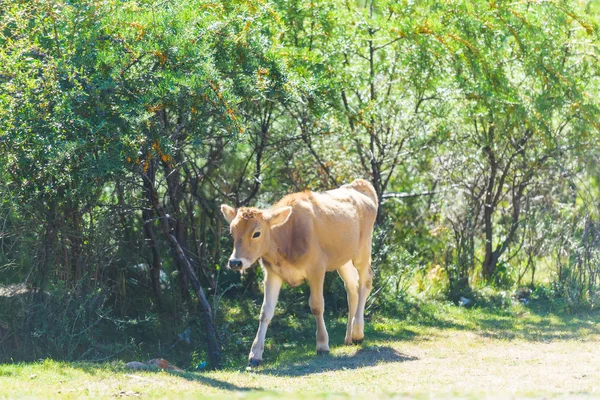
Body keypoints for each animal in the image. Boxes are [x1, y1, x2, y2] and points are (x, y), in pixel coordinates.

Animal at [223, 180, 378, 368]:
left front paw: (322, 345)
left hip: (362, 250)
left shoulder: (316, 268)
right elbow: (265, 312)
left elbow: (317, 306)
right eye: (232, 232)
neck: (287, 236)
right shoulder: (272, 273)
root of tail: (358, 184)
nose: (235, 262)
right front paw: (255, 354)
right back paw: (348, 337)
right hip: (343, 259)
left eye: (256, 233)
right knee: (352, 287)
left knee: (365, 282)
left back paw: (357, 332)